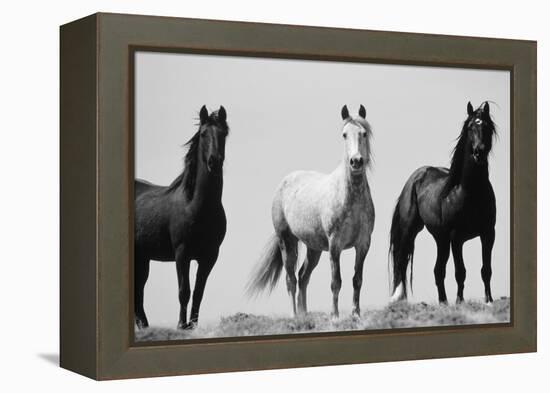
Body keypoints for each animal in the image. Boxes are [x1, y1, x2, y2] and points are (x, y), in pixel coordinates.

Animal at [135, 104, 230, 328]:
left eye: (224, 133)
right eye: (203, 134)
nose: (214, 162)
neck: (196, 206)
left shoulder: (209, 257)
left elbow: (198, 293)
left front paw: (192, 326)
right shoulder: (182, 254)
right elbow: (184, 291)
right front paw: (181, 325)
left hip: (143, 258)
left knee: (139, 292)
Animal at [249, 105, 376, 318]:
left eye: (364, 133)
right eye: (344, 134)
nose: (356, 161)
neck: (351, 198)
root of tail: (284, 182)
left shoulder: (363, 244)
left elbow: (357, 279)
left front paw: (356, 314)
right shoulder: (335, 245)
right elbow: (336, 282)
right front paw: (335, 316)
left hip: (314, 248)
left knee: (303, 276)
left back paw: (304, 314)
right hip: (287, 242)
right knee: (291, 279)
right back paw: (295, 316)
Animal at [390, 101, 498, 304]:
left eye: (487, 126)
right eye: (470, 127)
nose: (478, 152)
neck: (469, 192)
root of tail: (414, 179)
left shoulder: (488, 233)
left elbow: (486, 270)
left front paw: (488, 300)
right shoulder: (457, 237)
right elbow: (460, 272)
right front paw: (460, 302)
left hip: (441, 239)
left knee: (438, 270)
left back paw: (443, 302)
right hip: (411, 230)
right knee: (401, 261)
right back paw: (398, 298)